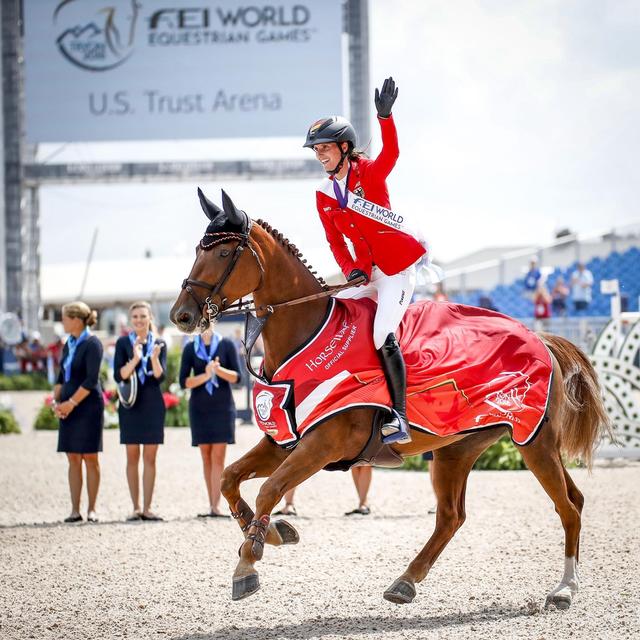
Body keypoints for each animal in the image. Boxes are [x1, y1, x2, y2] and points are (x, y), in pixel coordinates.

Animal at [170, 191, 608, 608]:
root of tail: (540, 338)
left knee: (567, 507)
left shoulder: (323, 444)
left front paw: (249, 560)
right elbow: (229, 478)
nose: (181, 316)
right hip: (458, 449)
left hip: (533, 442)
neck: (304, 336)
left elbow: (269, 489)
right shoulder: (285, 441)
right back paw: (405, 582)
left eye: (223, 253)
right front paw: (271, 532)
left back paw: (565, 589)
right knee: (456, 515)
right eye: (197, 250)